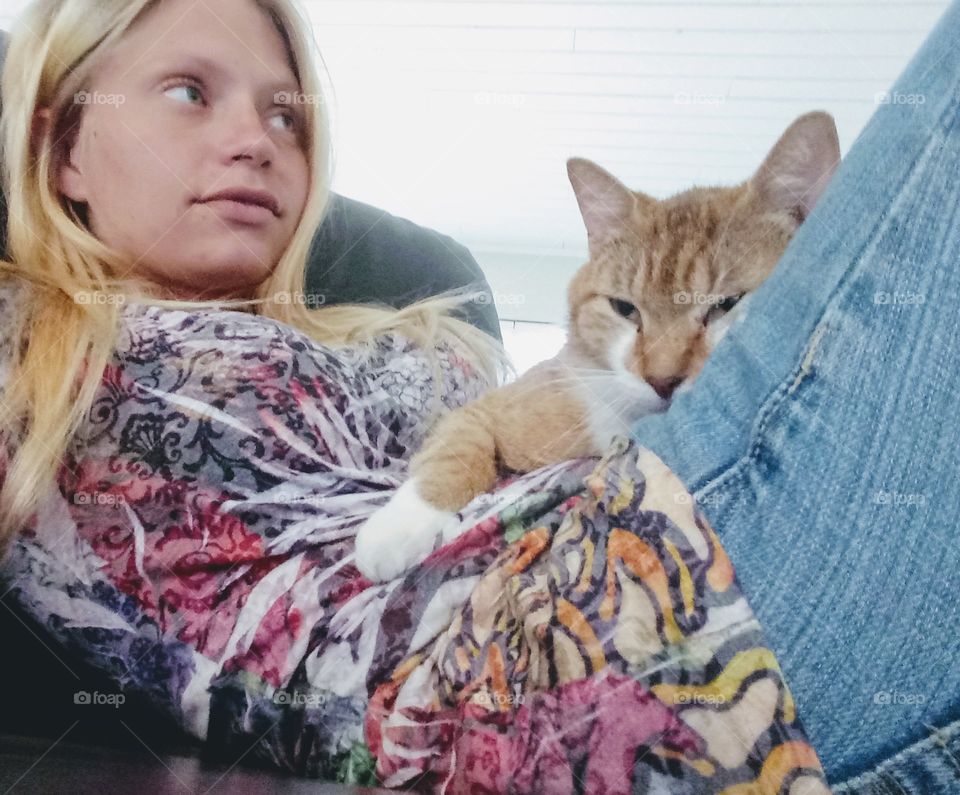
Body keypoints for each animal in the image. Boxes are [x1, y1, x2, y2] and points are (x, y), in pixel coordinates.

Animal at [354, 110, 840, 584]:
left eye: (726, 305)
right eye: (625, 308)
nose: (663, 380)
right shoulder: (491, 408)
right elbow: (456, 448)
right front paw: (398, 528)